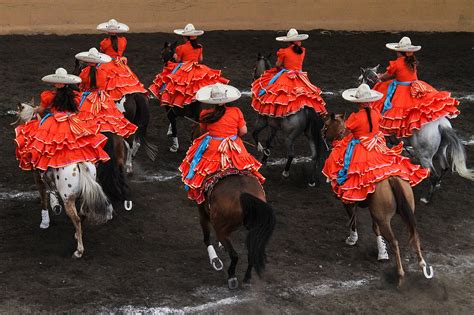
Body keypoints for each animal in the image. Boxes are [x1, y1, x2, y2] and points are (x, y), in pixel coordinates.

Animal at [13, 102, 112, 260]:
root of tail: (80, 164)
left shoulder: (38, 177)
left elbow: (43, 198)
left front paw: (45, 221)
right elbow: (52, 190)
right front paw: (55, 205)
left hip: (68, 200)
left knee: (77, 219)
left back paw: (78, 251)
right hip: (84, 193)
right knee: (83, 212)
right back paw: (77, 235)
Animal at [322, 113, 434, 286]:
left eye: (326, 124)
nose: (322, 133)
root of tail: (392, 178)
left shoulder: (348, 202)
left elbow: (352, 219)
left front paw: (352, 238)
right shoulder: (373, 209)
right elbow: (375, 229)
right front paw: (382, 252)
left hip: (384, 219)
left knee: (395, 242)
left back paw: (400, 276)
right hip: (405, 211)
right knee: (414, 234)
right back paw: (422, 265)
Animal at [360, 66, 474, 204]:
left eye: (362, 78)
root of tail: (441, 124)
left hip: (425, 157)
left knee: (434, 174)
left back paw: (426, 198)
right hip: (441, 149)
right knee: (445, 167)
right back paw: (438, 184)